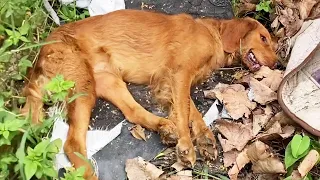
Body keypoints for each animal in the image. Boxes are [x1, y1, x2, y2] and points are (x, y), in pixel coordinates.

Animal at [21, 9, 278, 179]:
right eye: (263, 38)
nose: (277, 64)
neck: (212, 33)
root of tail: (42, 50)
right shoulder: (180, 73)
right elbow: (185, 111)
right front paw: (187, 146)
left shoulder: (171, 79)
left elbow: (189, 110)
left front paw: (204, 138)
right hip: (83, 85)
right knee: (72, 143)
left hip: (109, 80)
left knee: (132, 112)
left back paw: (164, 127)